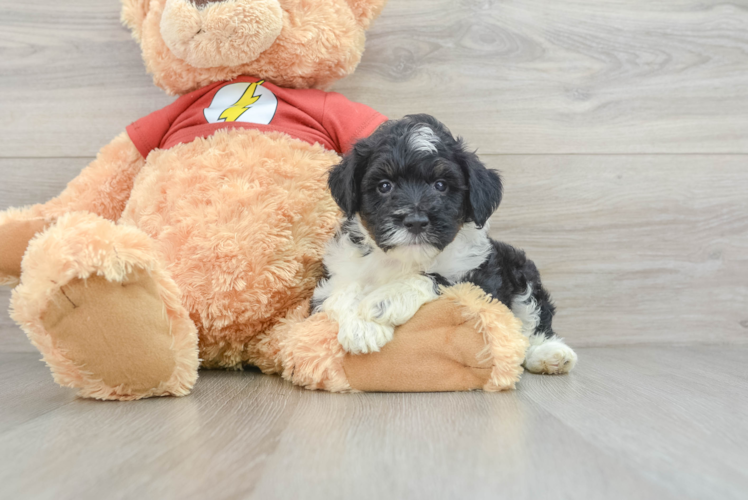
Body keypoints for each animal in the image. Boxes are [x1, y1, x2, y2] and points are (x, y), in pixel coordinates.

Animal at [310, 112, 580, 372]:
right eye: (384, 186)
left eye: (441, 185)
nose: (416, 221)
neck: (405, 260)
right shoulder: (333, 277)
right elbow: (342, 291)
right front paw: (361, 327)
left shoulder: (479, 283)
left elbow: (436, 278)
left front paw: (383, 302)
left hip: (519, 269)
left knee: (531, 321)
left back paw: (549, 354)